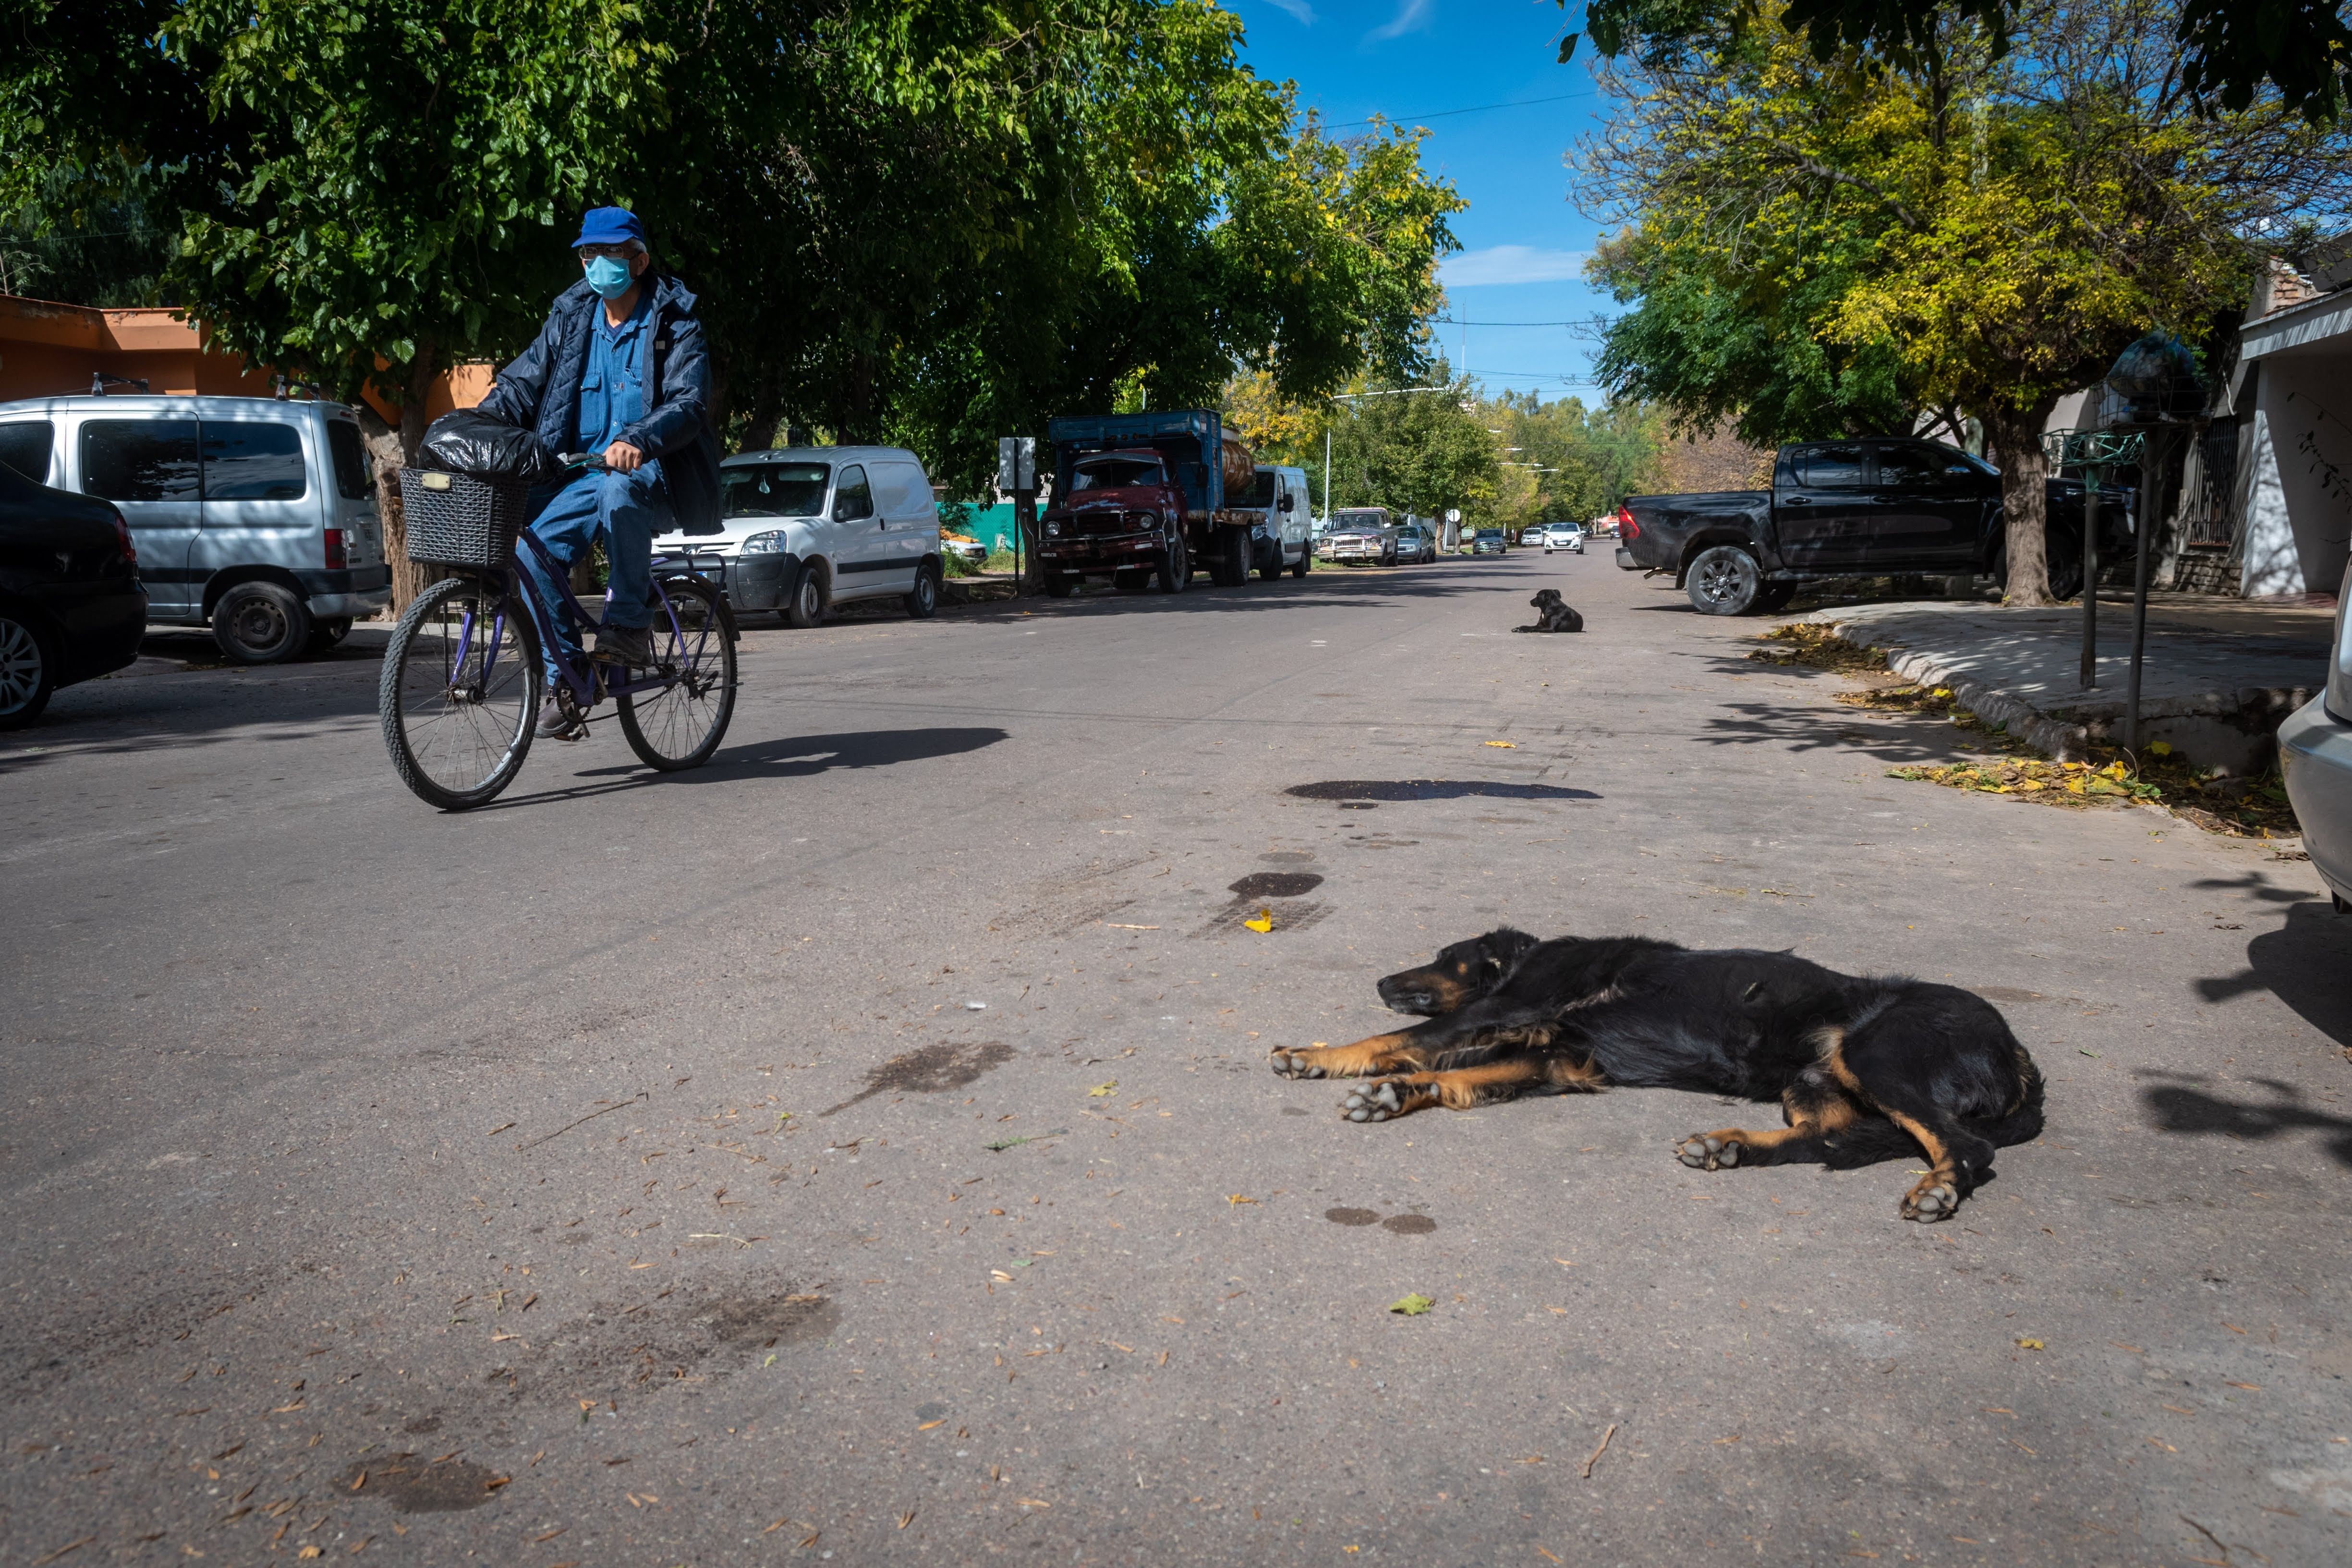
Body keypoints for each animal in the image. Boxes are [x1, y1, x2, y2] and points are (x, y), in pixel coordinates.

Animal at [1270, 931, 2041, 1222]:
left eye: (1441, 956)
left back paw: (1939, 1189)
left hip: (1875, 1053)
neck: (1526, 960)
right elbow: (1450, 1074)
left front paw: (1312, 1055)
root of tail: (2018, 1052)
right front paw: (1394, 1093)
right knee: (1820, 1138)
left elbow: (1389, 1039)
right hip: (1812, 1076)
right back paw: (1726, 1146)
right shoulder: (1555, 1057)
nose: (1379, 979)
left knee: (1964, 1146)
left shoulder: (1503, 1011)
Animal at [1515, 587, 1590, 630]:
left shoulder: (1549, 628)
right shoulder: (1540, 625)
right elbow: (1532, 626)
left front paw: (1522, 629)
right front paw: (1518, 628)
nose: (1530, 601)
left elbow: (1534, 628)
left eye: (1538, 596)